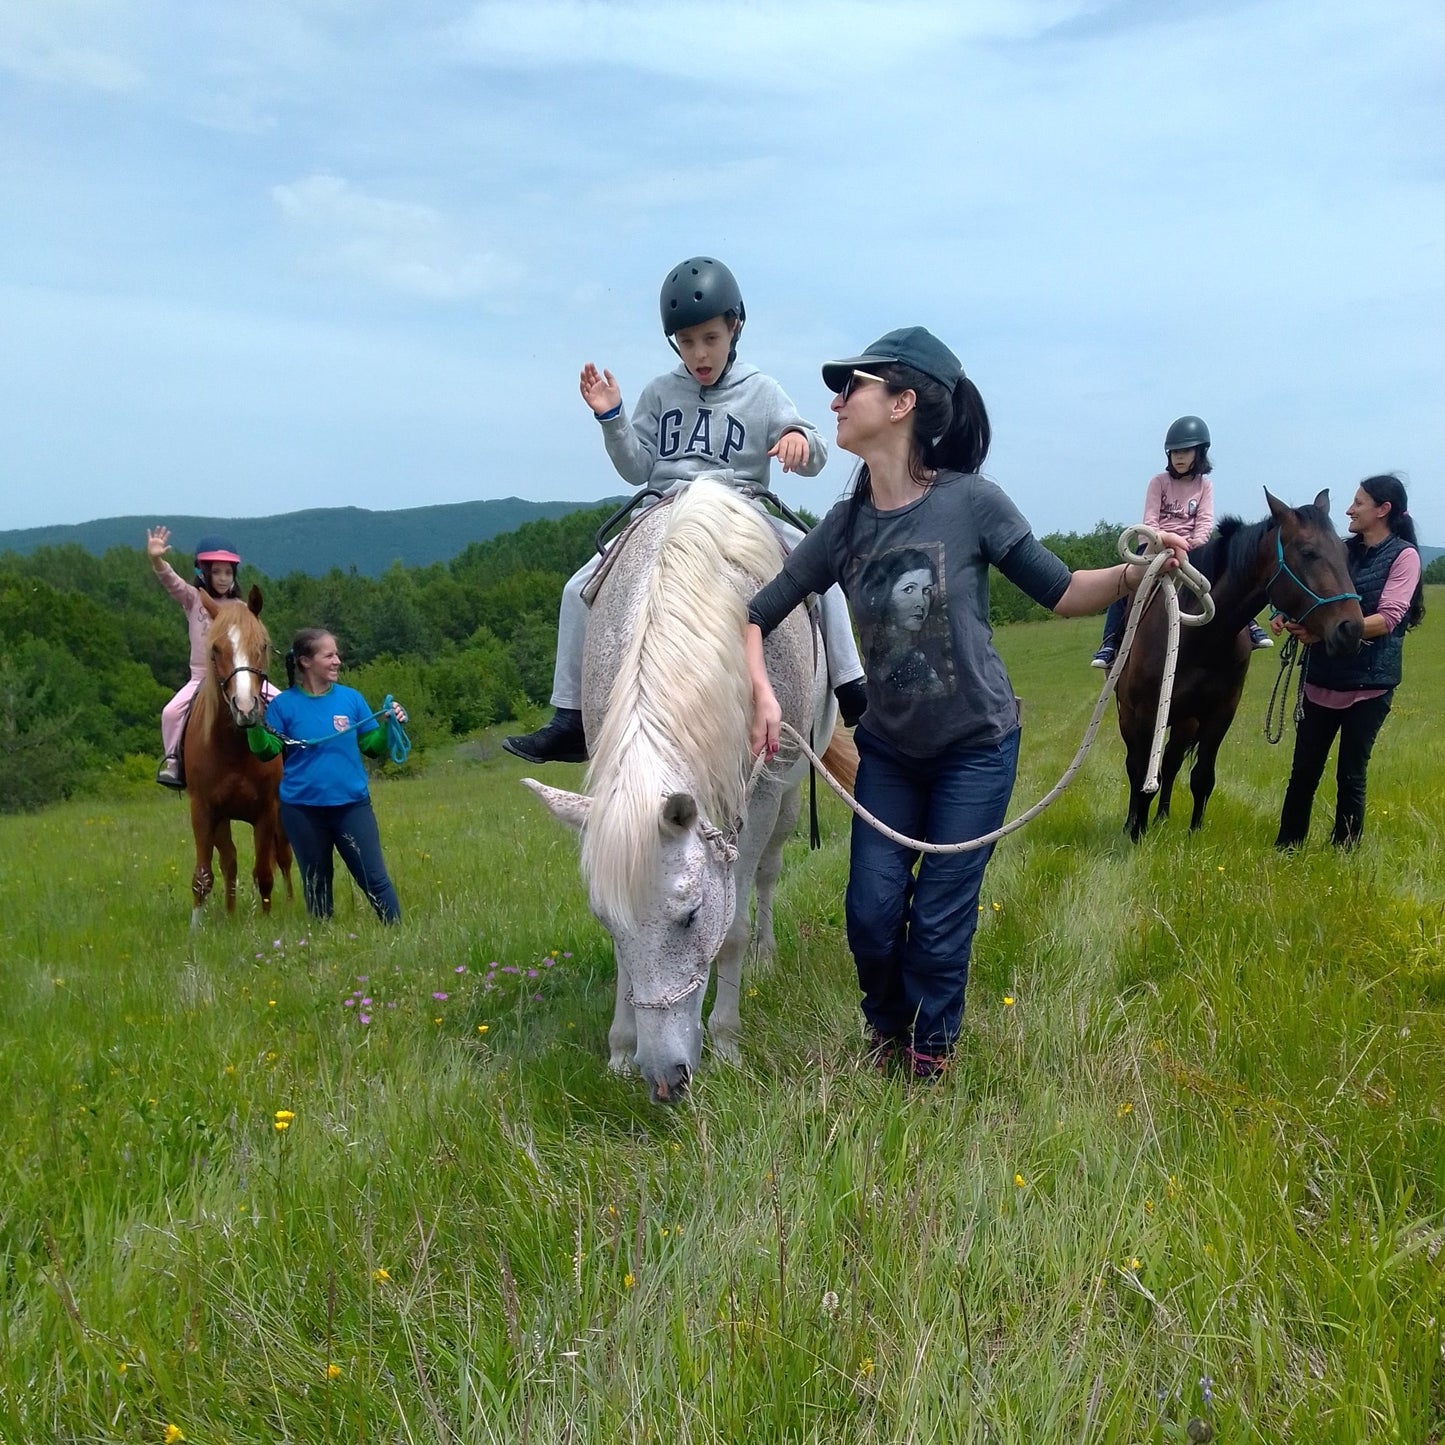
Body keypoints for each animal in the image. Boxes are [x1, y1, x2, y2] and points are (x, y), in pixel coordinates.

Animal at [183, 586, 293, 926]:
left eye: (262, 646)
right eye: (215, 649)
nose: (245, 708)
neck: (233, 749)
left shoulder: (267, 811)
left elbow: (264, 872)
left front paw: (267, 921)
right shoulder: (204, 811)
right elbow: (203, 875)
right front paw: (196, 928)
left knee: (284, 857)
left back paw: (291, 902)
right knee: (229, 861)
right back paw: (230, 914)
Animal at [522, 479, 833, 1104]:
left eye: (690, 917)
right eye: (605, 921)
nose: (665, 1079)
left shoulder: (758, 801)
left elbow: (732, 926)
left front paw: (728, 1043)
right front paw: (620, 1050)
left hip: (789, 801)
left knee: (767, 875)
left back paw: (766, 955)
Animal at [1116, 489, 1363, 840]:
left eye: (1343, 551)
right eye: (1308, 552)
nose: (1351, 629)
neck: (1200, 638)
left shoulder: (1220, 713)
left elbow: (1202, 777)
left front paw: (1194, 834)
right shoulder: (1147, 713)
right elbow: (1141, 775)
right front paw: (1136, 832)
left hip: (1185, 721)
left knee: (1171, 763)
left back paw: (1162, 818)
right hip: (1132, 717)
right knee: (1137, 766)